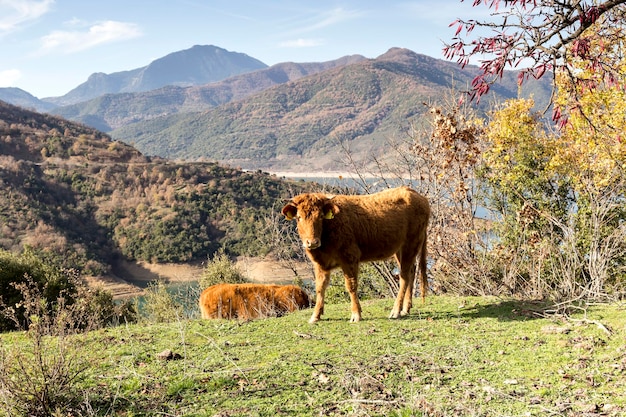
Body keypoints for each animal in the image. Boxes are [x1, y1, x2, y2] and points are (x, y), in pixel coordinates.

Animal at [282, 185, 428, 322]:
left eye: (321, 217)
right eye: (299, 217)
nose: (312, 242)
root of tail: (415, 194)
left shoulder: (350, 258)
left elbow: (351, 286)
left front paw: (356, 314)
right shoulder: (320, 264)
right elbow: (320, 287)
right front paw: (315, 316)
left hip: (411, 244)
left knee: (404, 276)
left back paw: (396, 311)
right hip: (400, 250)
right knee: (411, 272)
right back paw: (406, 308)